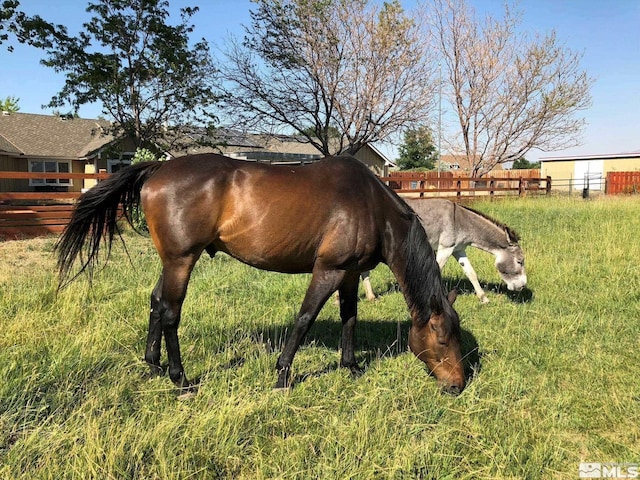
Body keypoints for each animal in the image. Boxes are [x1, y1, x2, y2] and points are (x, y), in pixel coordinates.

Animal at [56, 154, 464, 394]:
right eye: (443, 340)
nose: (458, 385)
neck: (371, 205)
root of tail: (158, 168)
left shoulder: (349, 273)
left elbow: (350, 317)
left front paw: (350, 366)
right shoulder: (328, 270)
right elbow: (304, 319)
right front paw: (283, 374)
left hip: (171, 261)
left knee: (156, 302)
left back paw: (153, 364)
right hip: (181, 260)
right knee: (170, 312)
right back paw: (180, 379)